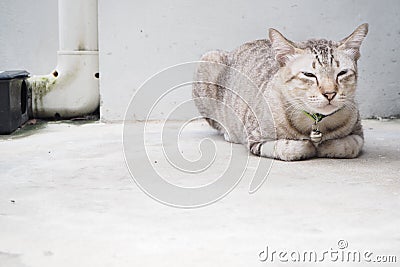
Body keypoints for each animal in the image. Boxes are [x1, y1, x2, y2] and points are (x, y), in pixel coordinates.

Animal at [192, 23, 368, 161]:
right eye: (309, 75)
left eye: (342, 73)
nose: (330, 93)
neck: (317, 123)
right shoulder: (255, 138)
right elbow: (292, 147)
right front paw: (310, 146)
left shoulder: (358, 134)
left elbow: (347, 145)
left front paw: (326, 145)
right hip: (208, 59)